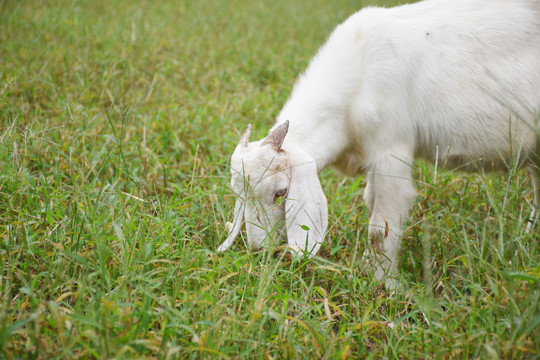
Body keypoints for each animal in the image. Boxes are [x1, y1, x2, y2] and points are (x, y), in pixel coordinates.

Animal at [216, 0, 540, 286]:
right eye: (238, 194)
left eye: (281, 192)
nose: (258, 250)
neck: (358, 74)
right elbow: (371, 204)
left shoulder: (390, 151)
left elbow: (380, 227)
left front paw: (387, 286)